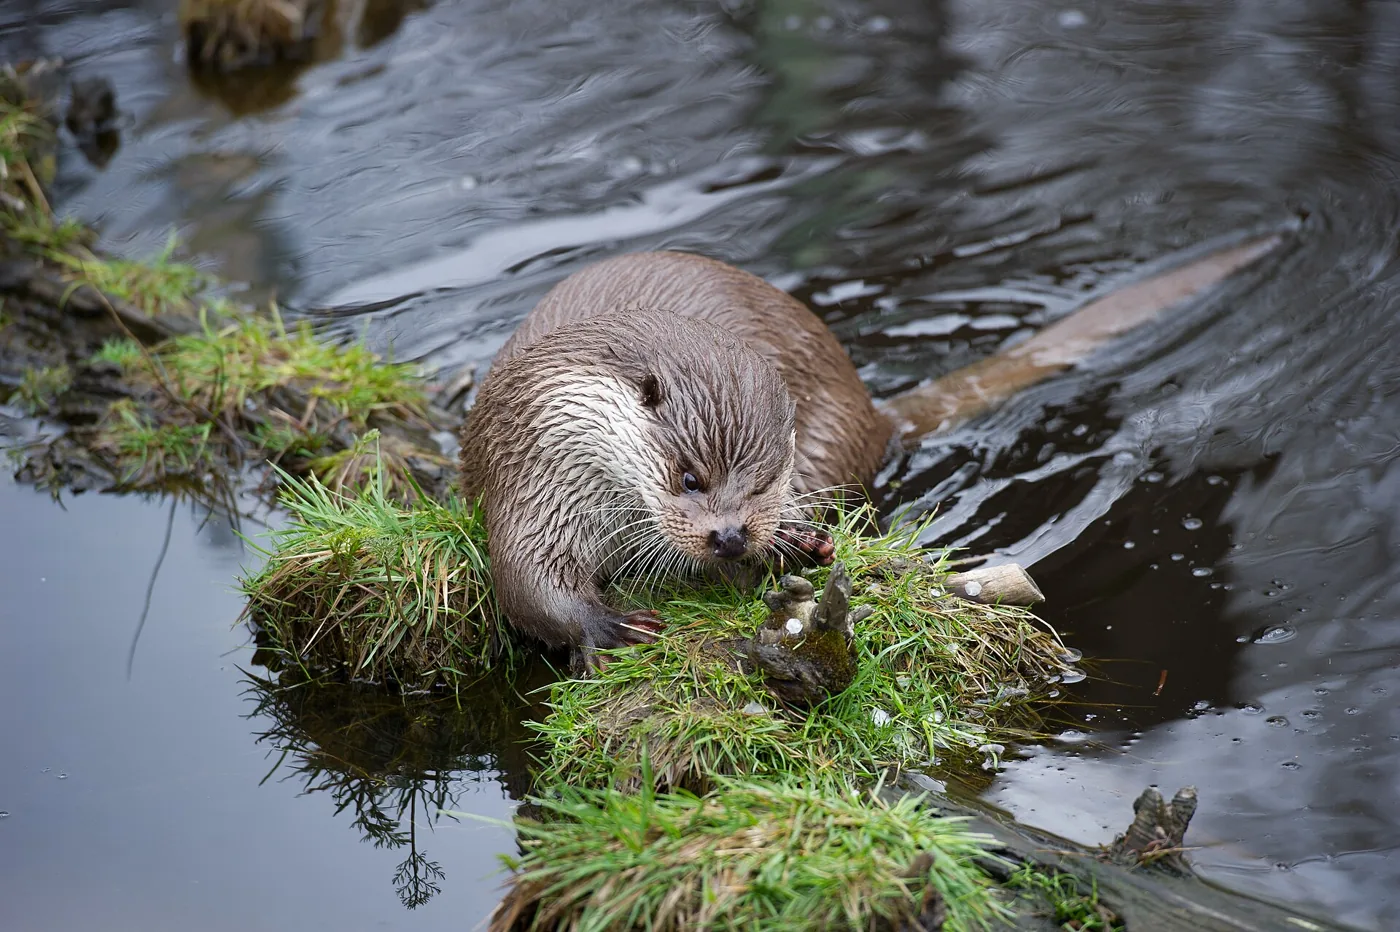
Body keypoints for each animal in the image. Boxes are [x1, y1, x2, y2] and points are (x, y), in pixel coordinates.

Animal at [459, 241, 1280, 659]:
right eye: (690, 477)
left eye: (767, 479)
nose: (732, 535)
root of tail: (871, 411)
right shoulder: (535, 464)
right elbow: (526, 579)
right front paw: (608, 625)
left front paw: (794, 546)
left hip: (833, 438)